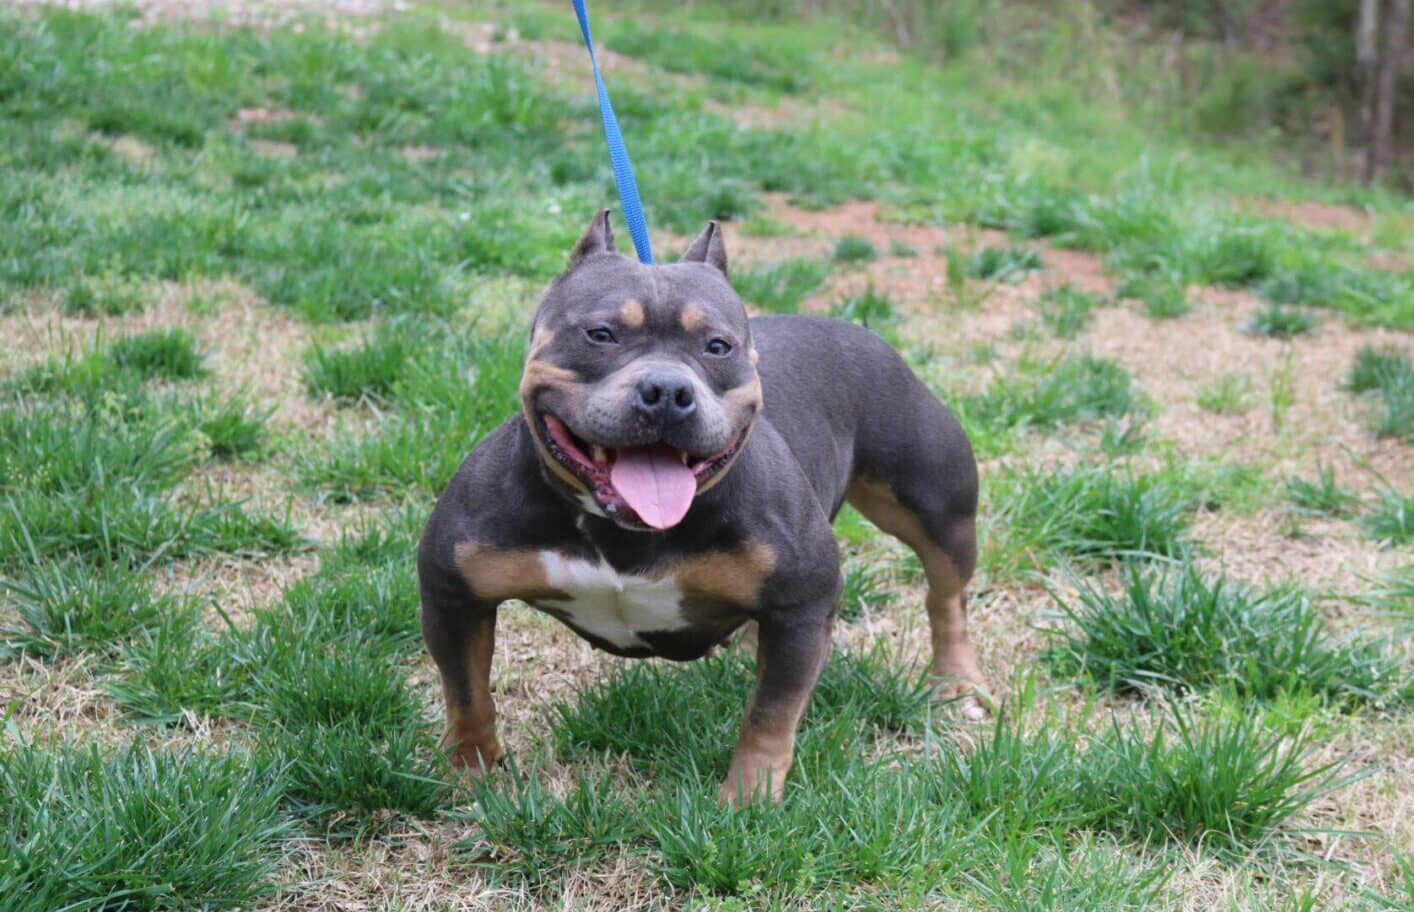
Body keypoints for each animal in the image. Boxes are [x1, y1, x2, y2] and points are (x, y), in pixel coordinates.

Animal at [412, 209, 978, 803]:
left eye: (717, 347)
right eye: (600, 334)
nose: (667, 390)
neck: (623, 533)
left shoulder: (803, 607)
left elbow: (771, 715)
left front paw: (749, 800)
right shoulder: (454, 594)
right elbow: (467, 695)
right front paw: (471, 775)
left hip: (937, 509)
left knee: (946, 596)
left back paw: (956, 679)